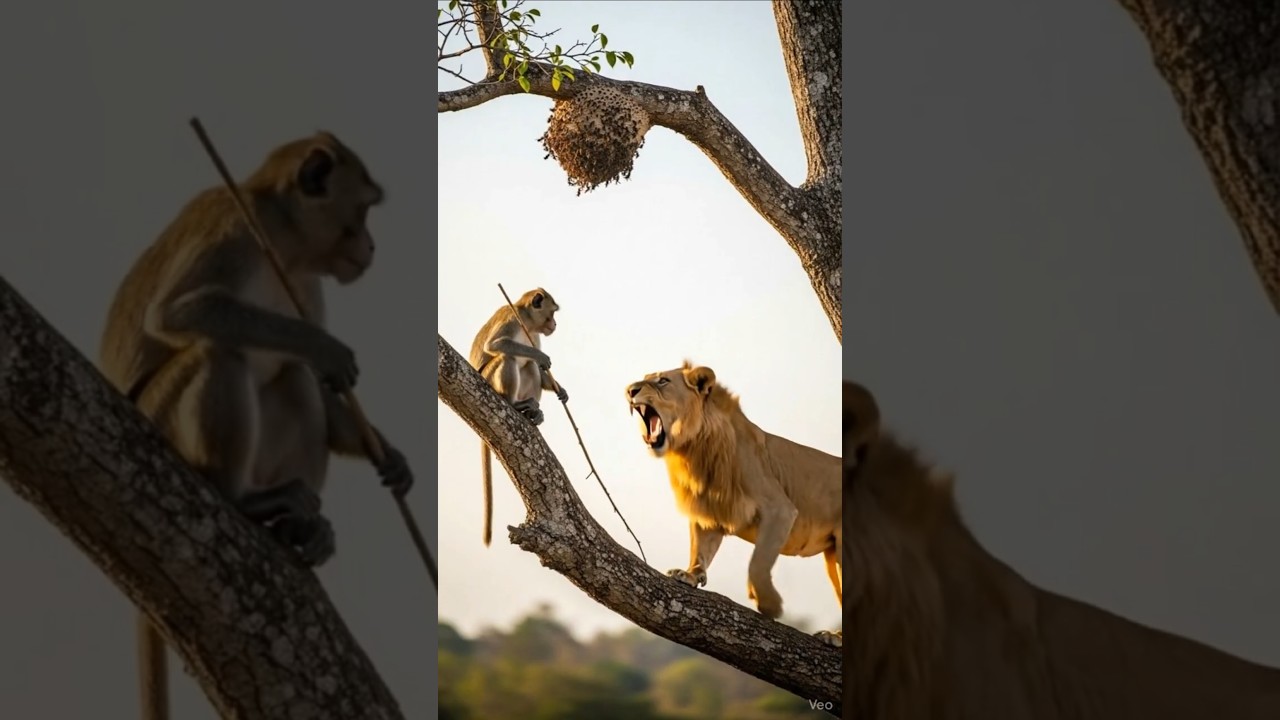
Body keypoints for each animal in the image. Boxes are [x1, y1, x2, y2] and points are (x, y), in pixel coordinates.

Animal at [98, 131, 415, 720]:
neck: (284, 244)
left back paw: (298, 530)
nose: (371, 247)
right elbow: (177, 314)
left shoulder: (306, 282)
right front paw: (325, 348)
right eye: (362, 211)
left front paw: (389, 455)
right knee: (218, 352)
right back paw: (243, 499)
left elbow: (322, 393)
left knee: (292, 379)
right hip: (158, 419)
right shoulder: (237, 228)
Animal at [467, 287, 568, 546]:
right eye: (553, 312)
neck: (527, 324)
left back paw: (531, 413)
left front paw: (561, 389)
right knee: (508, 358)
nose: (555, 324)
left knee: (529, 367)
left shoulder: (534, 334)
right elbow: (497, 344)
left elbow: (540, 371)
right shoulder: (512, 319)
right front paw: (542, 356)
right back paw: (514, 403)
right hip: (490, 379)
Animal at [625, 361, 842, 646]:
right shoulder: (709, 510)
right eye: (646, 377)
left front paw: (769, 604)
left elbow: (757, 562)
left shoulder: (779, 509)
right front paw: (690, 574)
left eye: (662, 381)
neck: (694, 451)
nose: (630, 390)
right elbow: (700, 548)